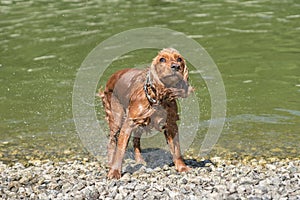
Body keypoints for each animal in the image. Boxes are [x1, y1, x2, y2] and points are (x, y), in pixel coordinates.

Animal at [100, 47, 195, 179]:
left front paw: (182, 167)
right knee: (112, 141)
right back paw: (110, 162)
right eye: (162, 59)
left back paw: (140, 160)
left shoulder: (171, 124)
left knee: (136, 141)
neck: (158, 97)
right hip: (117, 118)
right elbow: (120, 149)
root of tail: (113, 76)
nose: (176, 66)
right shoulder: (128, 123)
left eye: (179, 59)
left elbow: (177, 150)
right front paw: (114, 172)